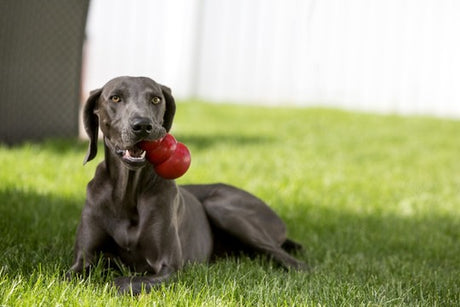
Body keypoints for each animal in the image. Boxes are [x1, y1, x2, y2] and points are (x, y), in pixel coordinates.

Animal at [69, 76, 306, 294]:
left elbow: (126, 282)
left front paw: (111, 283)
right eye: (115, 98)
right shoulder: (83, 259)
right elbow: (71, 275)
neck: (127, 193)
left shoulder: (169, 266)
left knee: (294, 262)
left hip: (222, 207)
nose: (143, 126)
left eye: (156, 99)